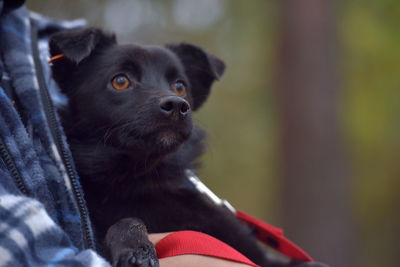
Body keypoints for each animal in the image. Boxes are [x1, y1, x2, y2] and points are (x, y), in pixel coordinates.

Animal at [49, 27, 324, 267]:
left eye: (180, 86)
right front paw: (136, 248)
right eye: (120, 81)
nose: (177, 106)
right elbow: (127, 220)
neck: (143, 176)